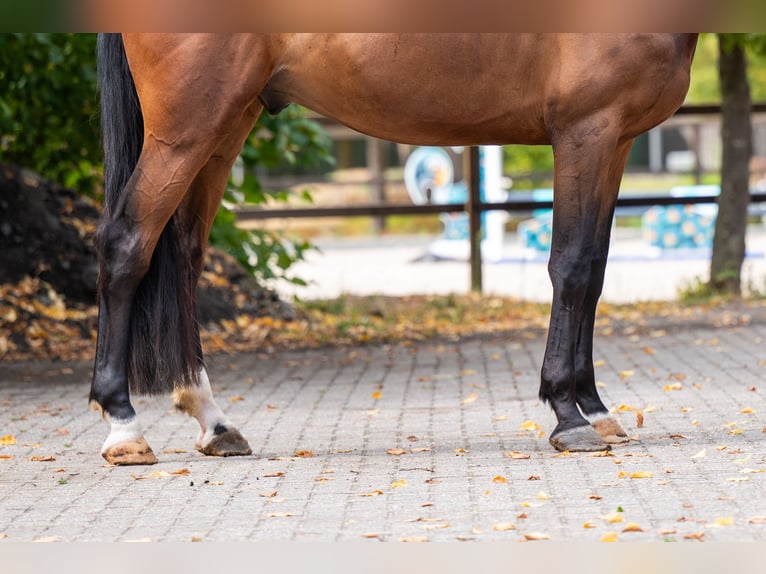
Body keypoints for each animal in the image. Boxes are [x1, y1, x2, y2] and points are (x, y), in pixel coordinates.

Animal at [91, 33, 698, 465]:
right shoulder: (585, 132)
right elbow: (570, 268)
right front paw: (569, 417)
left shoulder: (615, 140)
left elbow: (593, 271)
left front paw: (596, 410)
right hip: (185, 131)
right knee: (125, 246)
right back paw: (124, 428)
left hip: (226, 124)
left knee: (185, 256)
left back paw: (213, 422)